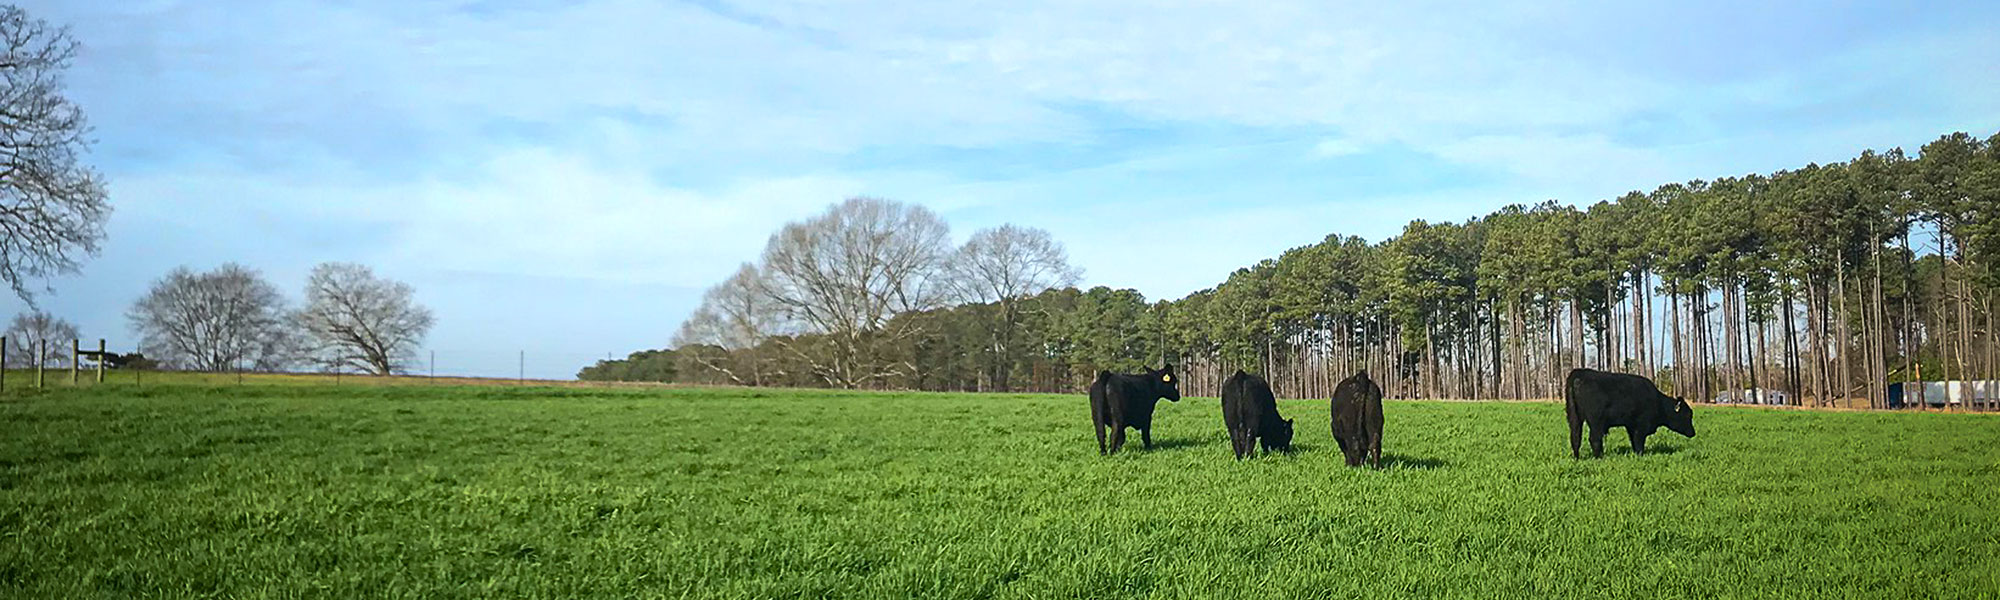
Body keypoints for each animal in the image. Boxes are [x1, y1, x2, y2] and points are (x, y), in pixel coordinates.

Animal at [1568, 366, 1696, 460]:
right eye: (1687, 415)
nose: (1693, 433)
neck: (1658, 402)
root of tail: (1581, 373)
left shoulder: (1630, 425)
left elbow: (1633, 440)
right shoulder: (1641, 425)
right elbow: (1639, 441)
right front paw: (1640, 455)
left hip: (1574, 418)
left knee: (1575, 437)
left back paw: (1577, 457)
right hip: (1596, 421)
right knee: (1594, 438)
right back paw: (1599, 457)